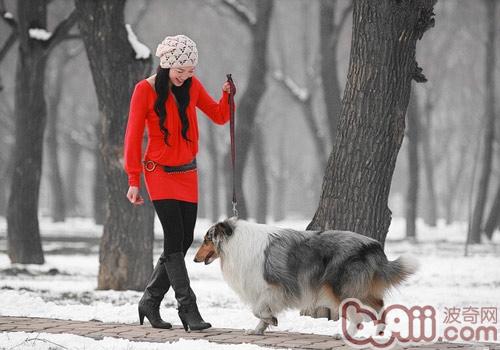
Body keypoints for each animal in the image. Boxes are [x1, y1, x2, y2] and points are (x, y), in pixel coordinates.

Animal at [193, 217, 416, 334]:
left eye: (206, 240)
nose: (194, 259)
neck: (234, 242)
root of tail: (373, 245)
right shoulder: (264, 290)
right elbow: (259, 311)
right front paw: (258, 330)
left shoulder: (274, 286)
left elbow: (257, 309)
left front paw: (271, 320)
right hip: (358, 288)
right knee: (379, 304)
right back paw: (379, 332)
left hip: (340, 289)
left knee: (358, 314)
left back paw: (344, 334)